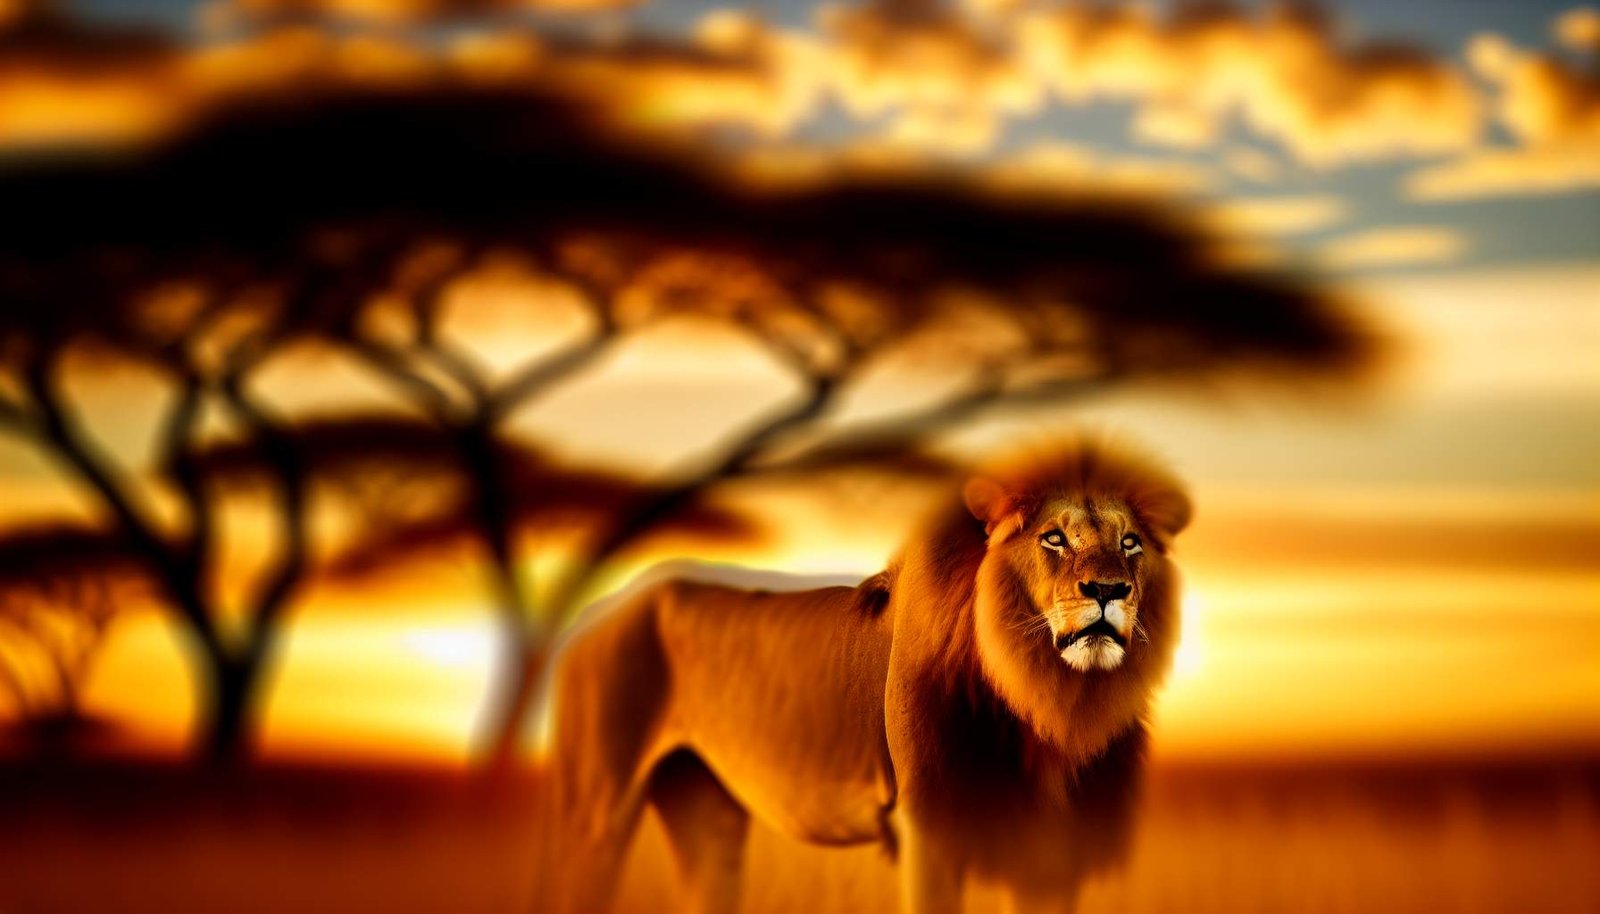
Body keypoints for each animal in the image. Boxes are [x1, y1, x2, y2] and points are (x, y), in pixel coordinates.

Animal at [537, 437, 1191, 914]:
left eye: (1130, 543)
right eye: (1053, 538)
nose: (1108, 590)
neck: (1047, 706)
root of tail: (595, 614)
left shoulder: (1054, 854)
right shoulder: (929, 833)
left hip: (705, 810)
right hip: (597, 813)